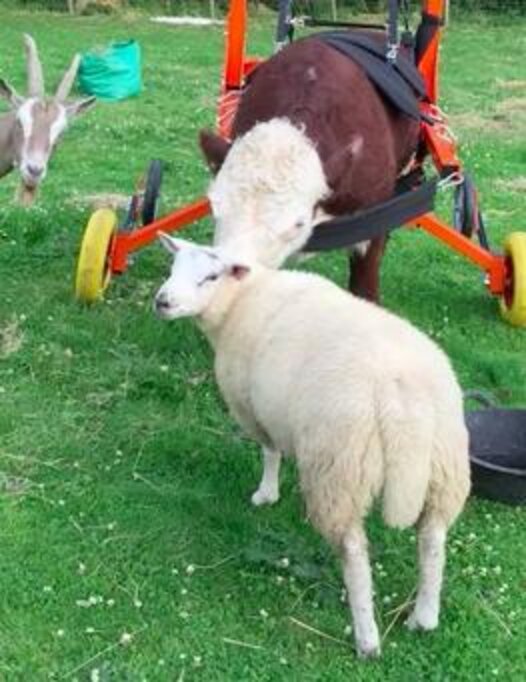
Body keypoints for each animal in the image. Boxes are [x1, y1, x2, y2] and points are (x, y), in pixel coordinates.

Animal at [154, 234, 471, 659]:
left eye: (210, 276)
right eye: (172, 268)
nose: (162, 301)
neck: (241, 300)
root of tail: (401, 400)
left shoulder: (254, 407)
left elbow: (269, 452)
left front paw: (266, 494)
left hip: (340, 466)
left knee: (354, 555)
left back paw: (367, 639)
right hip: (444, 468)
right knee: (433, 541)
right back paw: (423, 618)